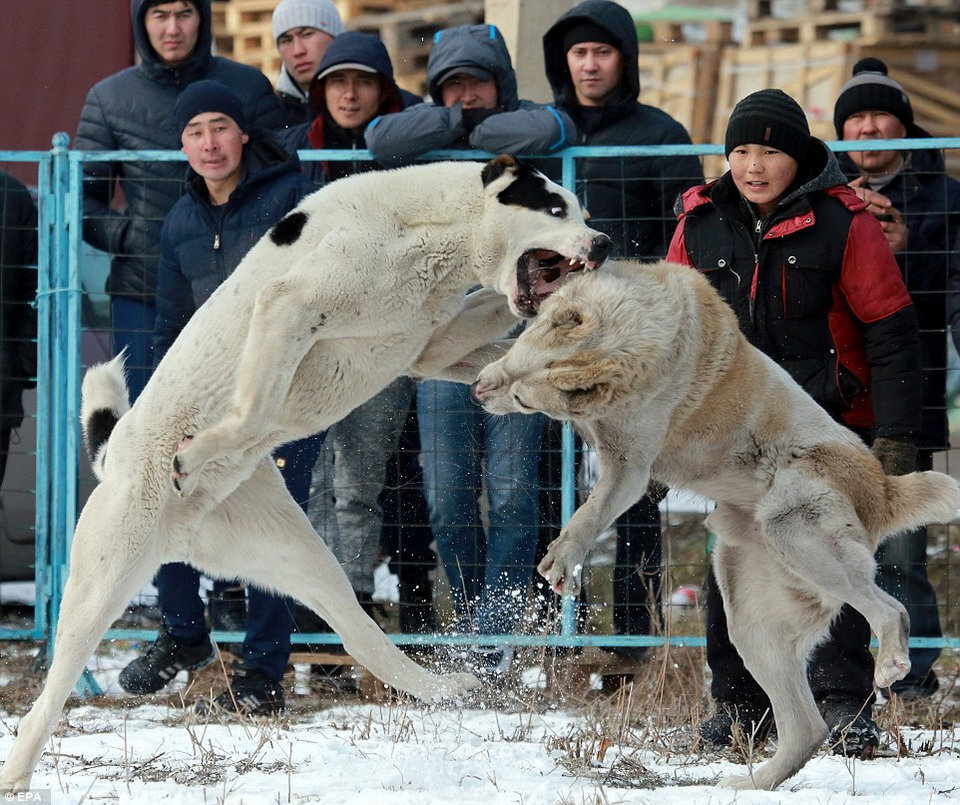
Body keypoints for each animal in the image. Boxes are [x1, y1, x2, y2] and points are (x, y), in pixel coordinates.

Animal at [1, 154, 616, 788]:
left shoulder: (429, 347)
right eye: (554, 208)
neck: (430, 228)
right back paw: (18, 774)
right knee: (47, 699)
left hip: (301, 558)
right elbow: (254, 409)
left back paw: (445, 687)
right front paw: (194, 453)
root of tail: (115, 458)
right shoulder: (290, 305)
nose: (604, 243)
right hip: (102, 581)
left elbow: (494, 350)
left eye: (583, 210)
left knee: (363, 637)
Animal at [474, 260, 960, 788]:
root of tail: (883, 490)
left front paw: (564, 557)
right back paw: (753, 785)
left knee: (891, 609)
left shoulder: (629, 468)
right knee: (805, 728)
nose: (478, 389)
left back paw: (890, 663)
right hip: (750, 618)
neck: (640, 339)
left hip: (794, 532)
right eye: (519, 362)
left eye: (524, 399)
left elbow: (591, 512)